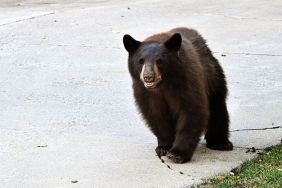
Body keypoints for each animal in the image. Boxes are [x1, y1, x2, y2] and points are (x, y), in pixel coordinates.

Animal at [123, 26, 234, 163]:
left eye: (159, 61)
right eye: (140, 61)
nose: (148, 77)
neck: (163, 85)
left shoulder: (186, 81)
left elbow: (191, 110)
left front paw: (178, 153)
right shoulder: (144, 91)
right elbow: (156, 114)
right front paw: (164, 147)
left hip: (213, 77)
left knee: (217, 107)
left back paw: (220, 142)